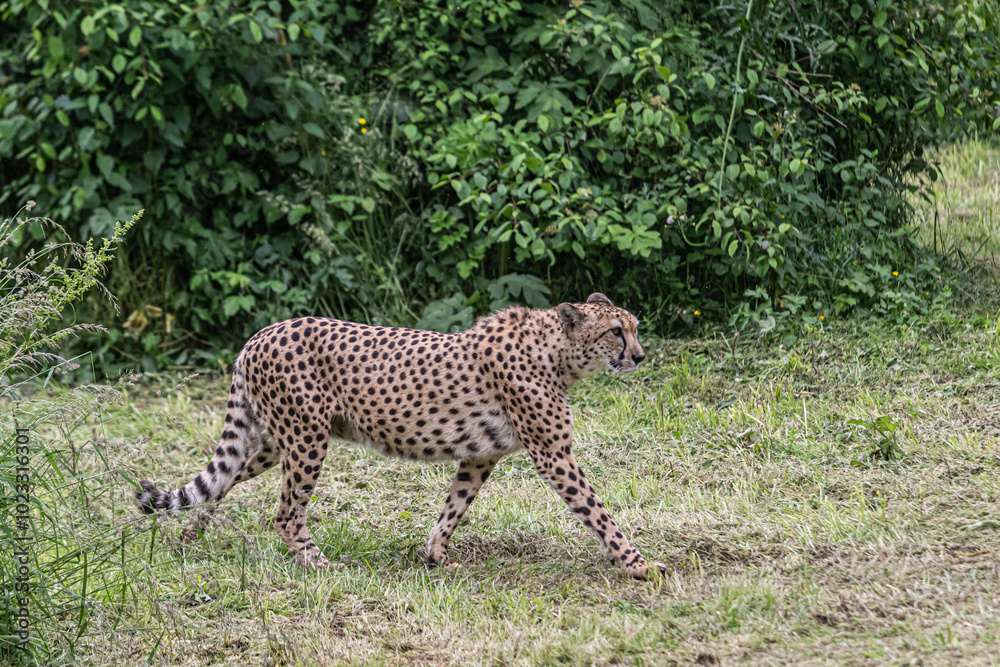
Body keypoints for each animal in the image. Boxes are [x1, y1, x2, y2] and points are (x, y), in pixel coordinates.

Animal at [136, 293, 666, 579]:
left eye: (636, 328)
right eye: (617, 331)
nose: (640, 356)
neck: (557, 354)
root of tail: (261, 333)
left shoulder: (481, 456)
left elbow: (454, 507)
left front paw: (435, 555)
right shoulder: (554, 455)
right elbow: (599, 513)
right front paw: (640, 566)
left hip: (272, 441)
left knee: (223, 479)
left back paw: (190, 534)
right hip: (306, 439)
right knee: (285, 513)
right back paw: (319, 565)